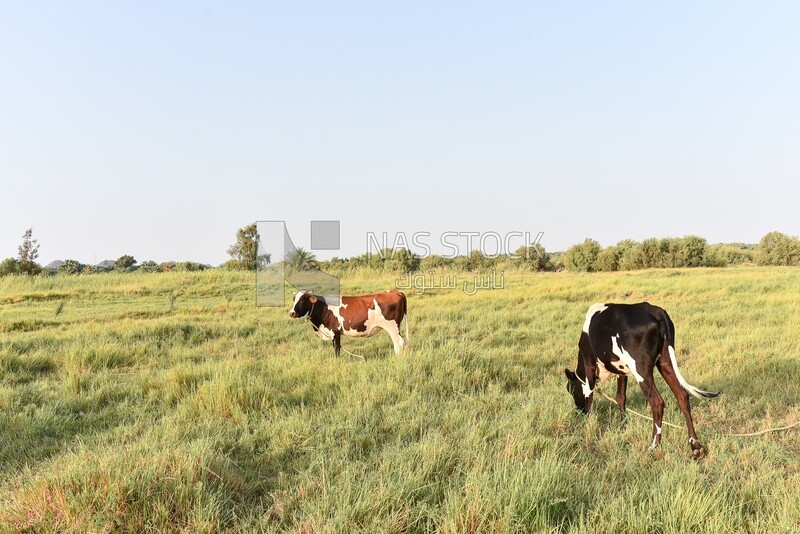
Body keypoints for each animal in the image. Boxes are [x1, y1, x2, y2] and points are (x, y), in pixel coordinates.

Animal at [564, 304, 720, 458]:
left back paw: (654, 444)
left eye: (571, 390)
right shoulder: (622, 371)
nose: (578, 409)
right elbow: (620, 397)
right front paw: (623, 427)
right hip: (665, 362)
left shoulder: (589, 364)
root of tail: (655, 310)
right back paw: (695, 446)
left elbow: (589, 395)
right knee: (682, 396)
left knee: (657, 402)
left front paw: (586, 421)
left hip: (641, 368)